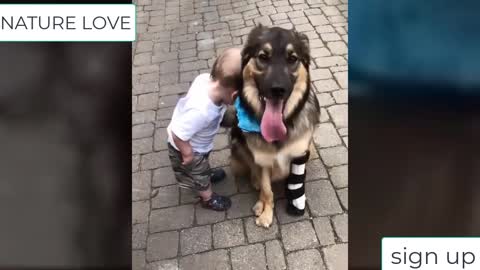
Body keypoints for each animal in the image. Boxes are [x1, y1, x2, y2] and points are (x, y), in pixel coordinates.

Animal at [231, 25, 320, 228]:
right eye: (263, 57)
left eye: (292, 59)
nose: (277, 90)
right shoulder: (262, 159)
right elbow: (266, 190)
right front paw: (266, 213)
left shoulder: (299, 153)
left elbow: (296, 182)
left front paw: (296, 204)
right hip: (236, 142)